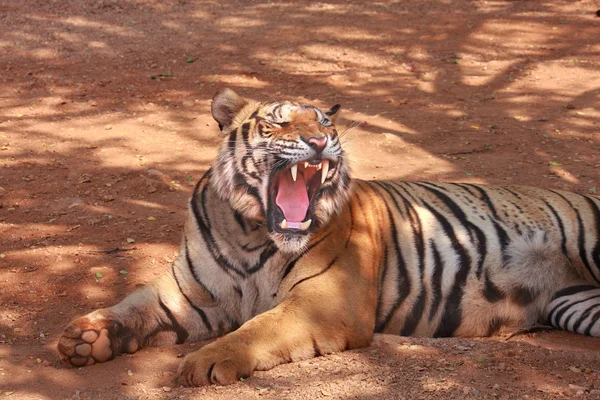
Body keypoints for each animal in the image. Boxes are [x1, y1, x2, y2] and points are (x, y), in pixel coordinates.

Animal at [57, 89, 600, 386]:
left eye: (324, 122)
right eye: (277, 122)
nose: (321, 141)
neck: (249, 233)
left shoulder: (324, 300)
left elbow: (257, 328)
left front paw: (206, 362)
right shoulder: (193, 294)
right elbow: (136, 304)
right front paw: (87, 338)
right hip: (579, 304)